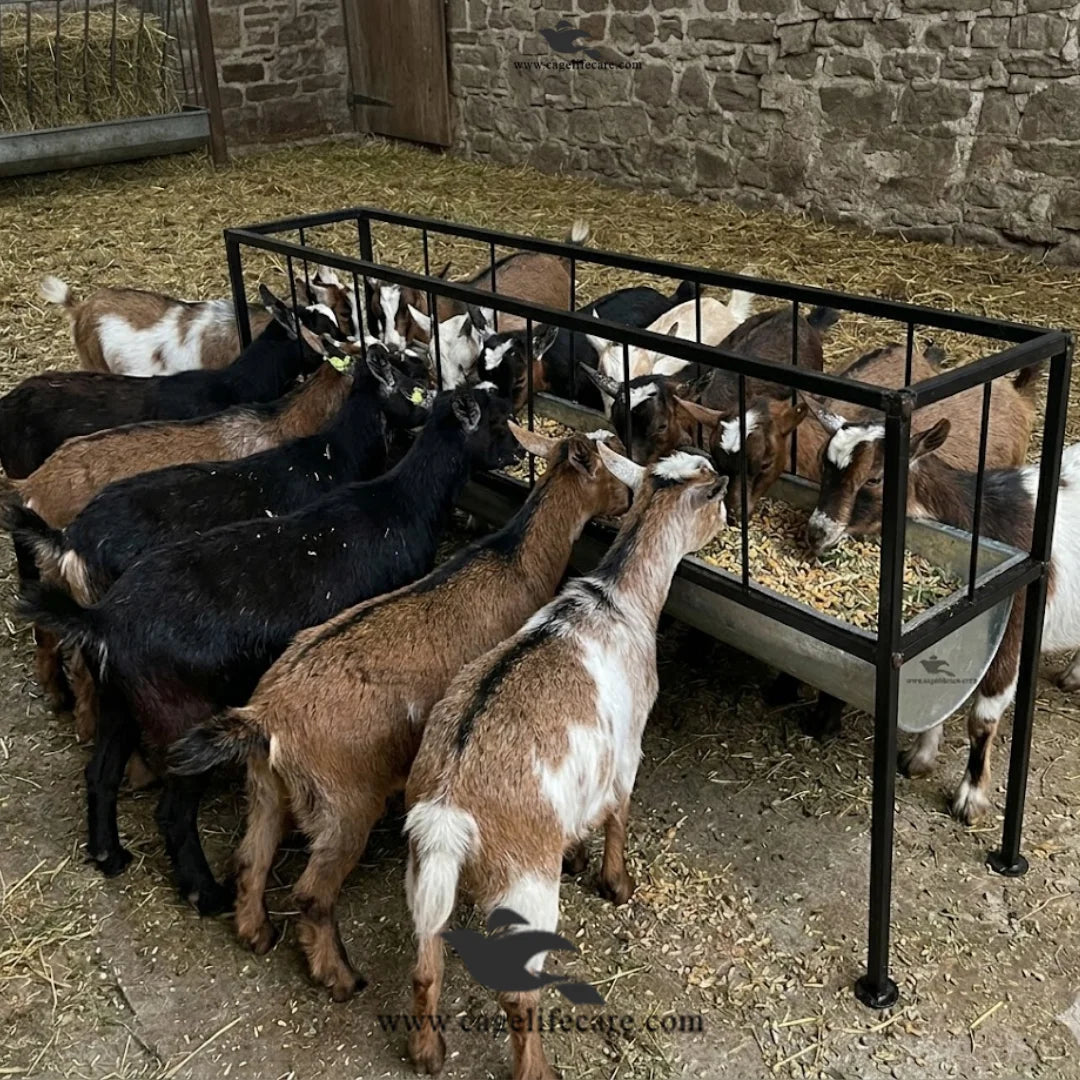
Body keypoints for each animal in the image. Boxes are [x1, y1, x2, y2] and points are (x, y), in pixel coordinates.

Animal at [18, 384, 518, 915]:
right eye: (497, 421)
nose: (518, 452)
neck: (399, 502)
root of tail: (103, 621)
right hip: (177, 718)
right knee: (173, 813)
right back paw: (207, 893)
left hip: (120, 701)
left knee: (99, 773)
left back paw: (109, 855)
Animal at [166, 423, 637, 1000]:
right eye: (608, 466)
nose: (629, 499)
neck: (514, 561)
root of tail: (266, 716)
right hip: (344, 804)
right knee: (312, 893)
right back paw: (340, 976)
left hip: (267, 787)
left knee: (250, 858)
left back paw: (257, 934)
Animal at [403, 448, 728, 1080]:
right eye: (717, 494)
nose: (726, 519)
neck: (620, 600)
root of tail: (448, 809)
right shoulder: (627, 748)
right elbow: (619, 815)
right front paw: (616, 884)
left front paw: (577, 852)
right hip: (525, 886)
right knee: (515, 992)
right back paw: (539, 1069)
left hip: (421, 868)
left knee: (426, 963)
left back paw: (427, 1052)